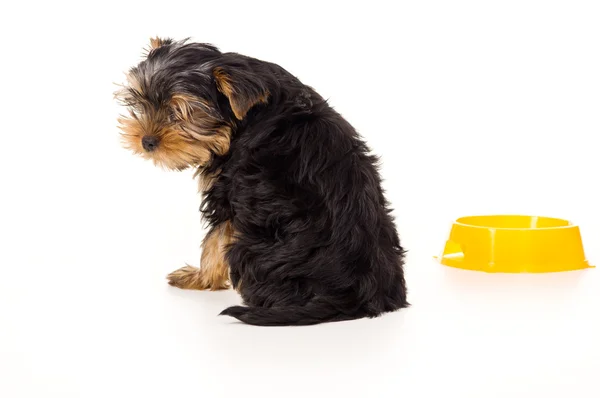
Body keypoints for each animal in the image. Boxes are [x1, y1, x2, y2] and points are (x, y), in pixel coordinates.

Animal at [116, 37, 408, 324]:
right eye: (139, 102)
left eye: (179, 112)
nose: (146, 141)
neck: (244, 119)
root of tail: (355, 296)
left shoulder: (225, 189)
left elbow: (214, 240)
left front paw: (201, 277)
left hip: (252, 248)